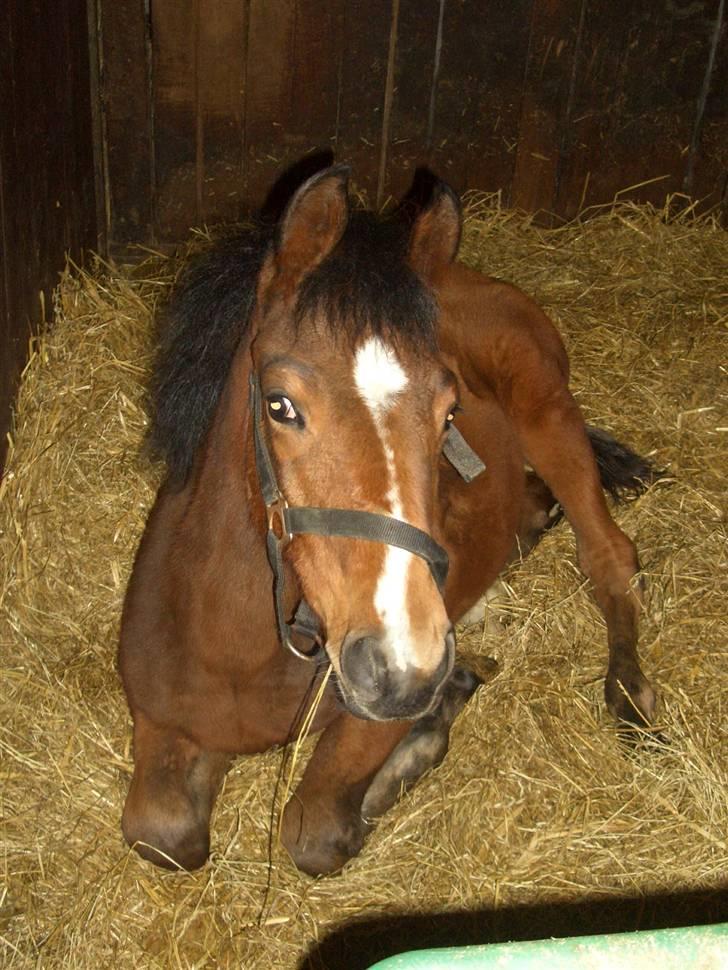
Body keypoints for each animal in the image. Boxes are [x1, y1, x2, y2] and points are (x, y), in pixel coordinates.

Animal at [116, 166, 656, 876]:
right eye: (279, 404)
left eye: (449, 413)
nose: (405, 664)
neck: (236, 652)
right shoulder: (160, 722)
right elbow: (162, 836)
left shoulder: (366, 722)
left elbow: (316, 831)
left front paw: (431, 727)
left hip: (550, 414)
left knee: (609, 554)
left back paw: (632, 697)